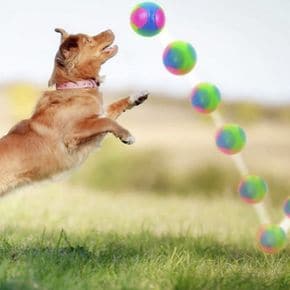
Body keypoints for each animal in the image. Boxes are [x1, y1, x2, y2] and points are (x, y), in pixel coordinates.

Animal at [0, 28, 148, 196]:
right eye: (89, 40)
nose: (110, 30)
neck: (76, 86)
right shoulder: (73, 134)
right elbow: (107, 121)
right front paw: (126, 135)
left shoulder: (96, 116)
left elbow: (112, 109)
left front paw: (137, 97)